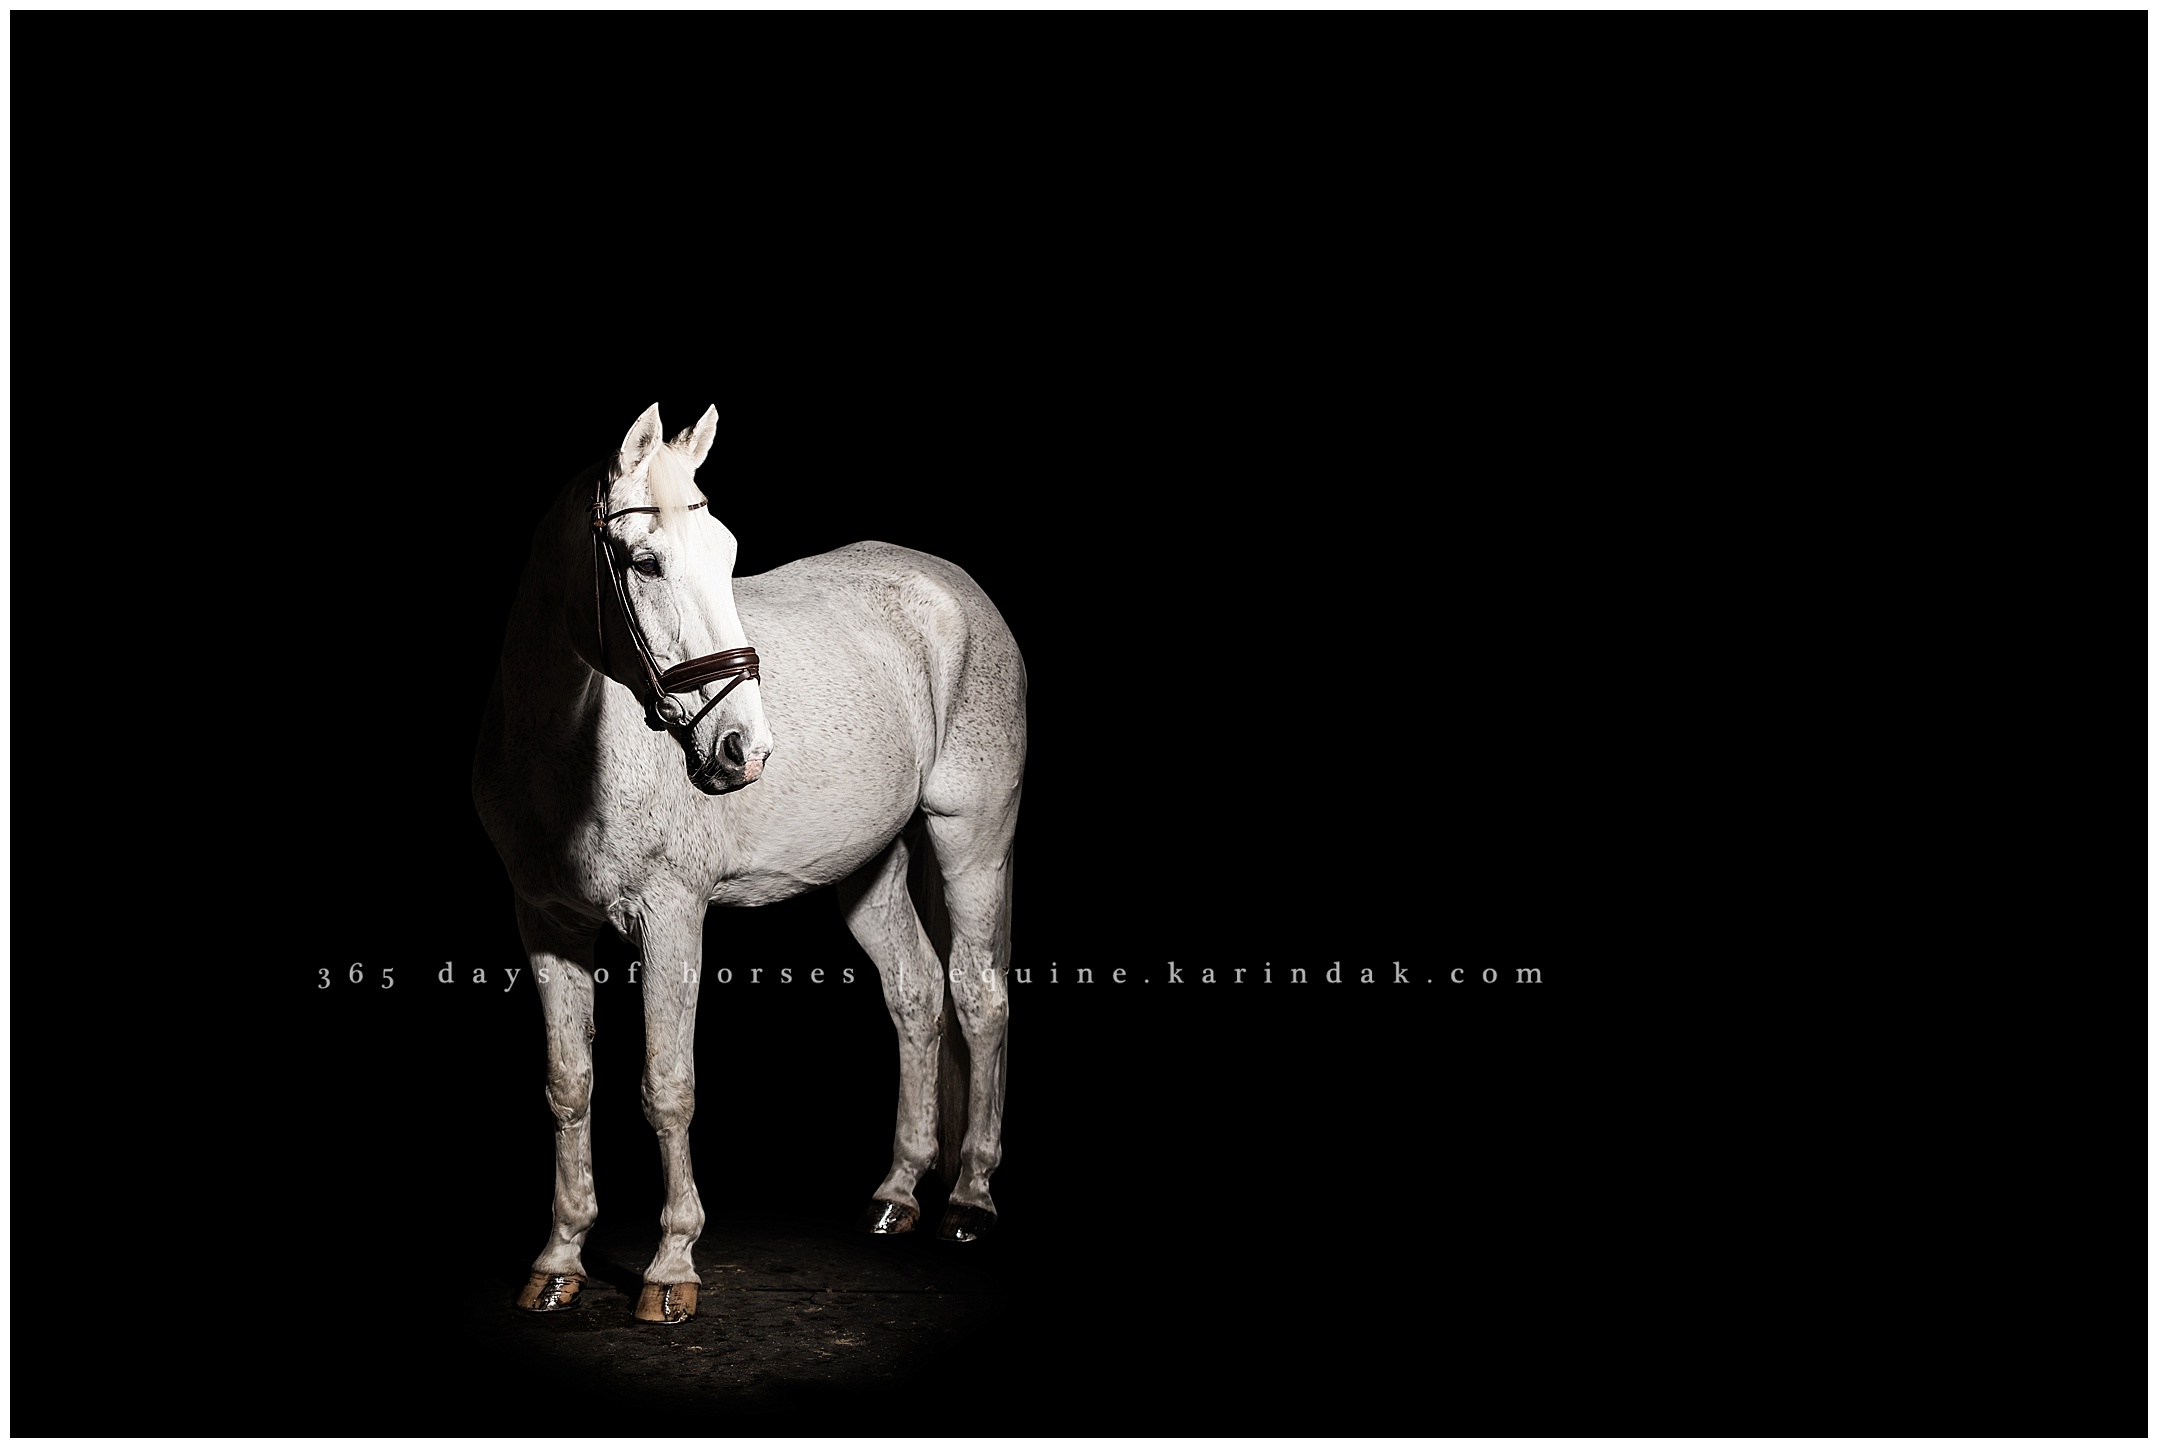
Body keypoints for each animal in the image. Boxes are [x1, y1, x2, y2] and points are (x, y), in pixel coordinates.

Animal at [471, 403, 1024, 1323]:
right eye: (645, 562)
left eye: (729, 556)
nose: (746, 749)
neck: (567, 749)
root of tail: (950, 585)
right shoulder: (547, 927)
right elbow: (569, 1085)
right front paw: (558, 1260)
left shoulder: (671, 919)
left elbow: (667, 1087)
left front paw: (671, 1268)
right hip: (868, 870)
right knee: (915, 994)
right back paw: (896, 1195)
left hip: (971, 840)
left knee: (980, 999)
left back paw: (970, 1202)